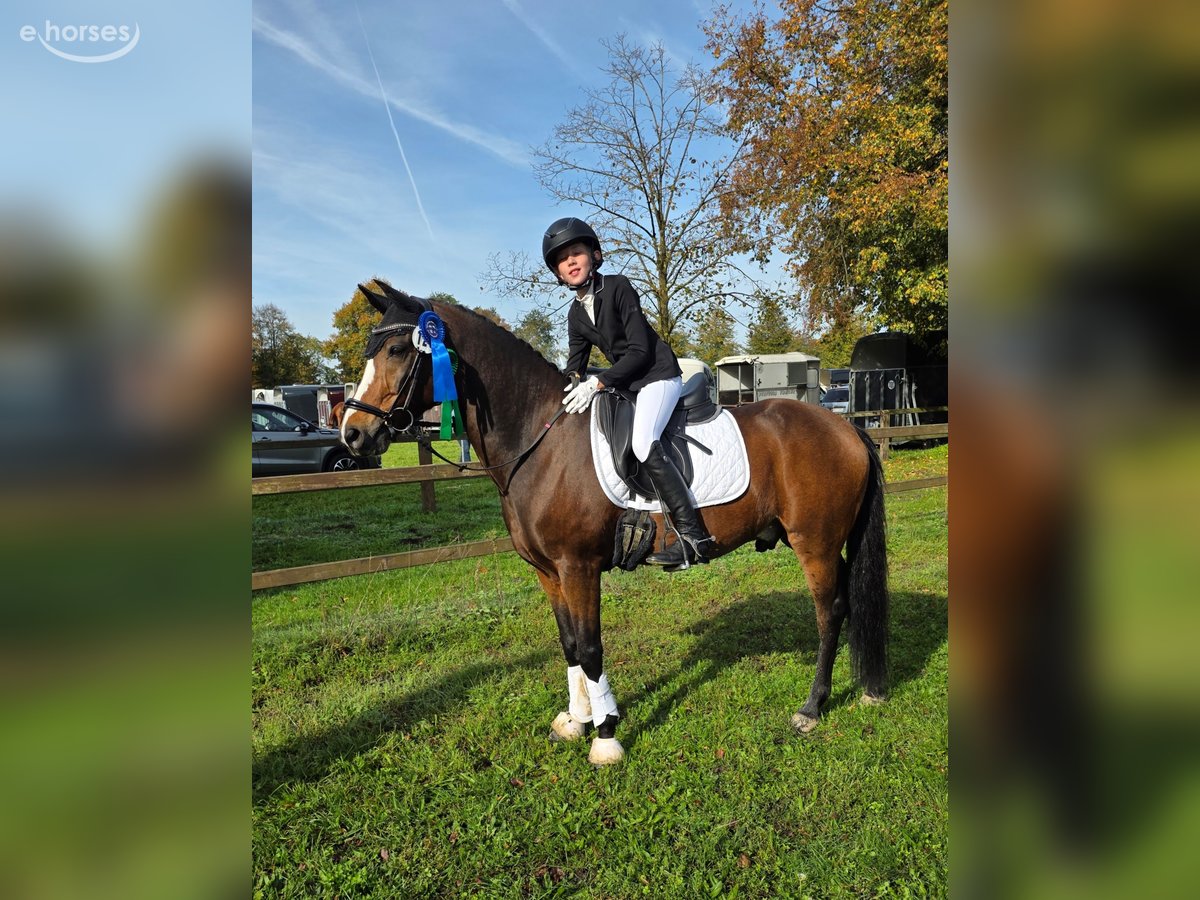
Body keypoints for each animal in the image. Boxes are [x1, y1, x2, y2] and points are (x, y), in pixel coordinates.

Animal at [341, 282, 889, 765]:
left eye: (396, 349)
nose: (353, 433)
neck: (541, 440)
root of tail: (846, 427)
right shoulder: (548, 572)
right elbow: (568, 646)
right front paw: (576, 721)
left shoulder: (578, 567)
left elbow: (590, 647)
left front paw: (605, 738)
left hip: (815, 542)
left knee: (829, 612)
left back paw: (812, 708)